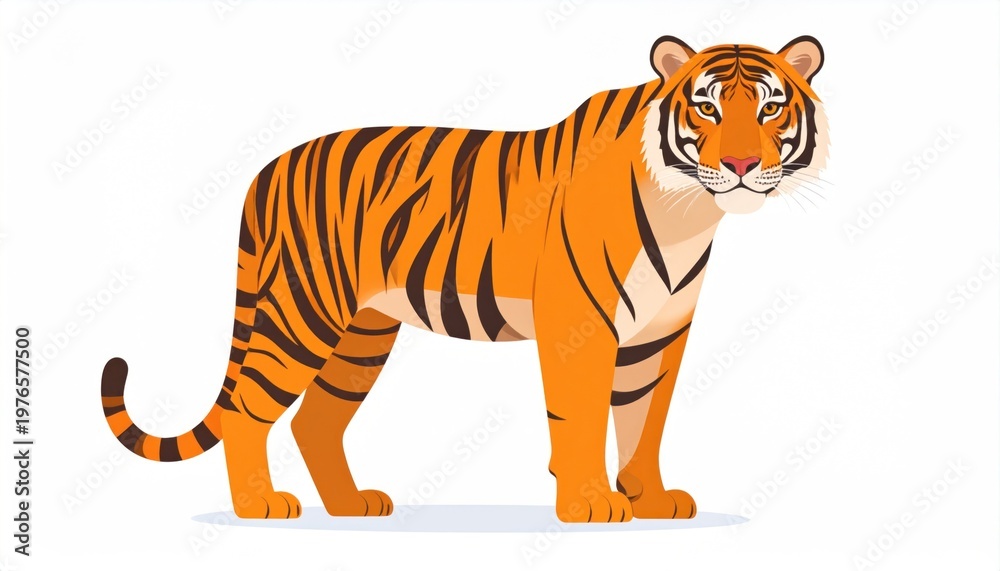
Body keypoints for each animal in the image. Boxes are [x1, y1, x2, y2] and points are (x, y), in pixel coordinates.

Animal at [101, 35, 827, 523]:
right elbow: (583, 416)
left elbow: (645, 417)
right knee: (250, 409)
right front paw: (589, 502)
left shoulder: (660, 333)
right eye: (708, 109)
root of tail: (267, 168)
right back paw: (261, 506)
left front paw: (650, 498)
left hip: (362, 334)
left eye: (770, 111)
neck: (689, 212)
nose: (739, 164)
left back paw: (351, 503)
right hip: (301, 313)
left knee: (316, 420)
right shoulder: (581, 325)